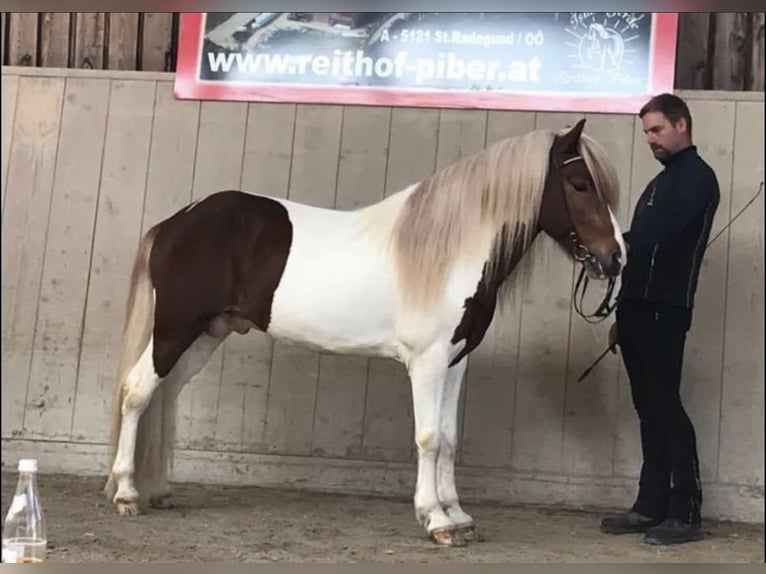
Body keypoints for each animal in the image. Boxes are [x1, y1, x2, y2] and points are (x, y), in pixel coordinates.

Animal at [103, 118, 626, 547]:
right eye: (580, 184)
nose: (615, 257)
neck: (449, 251)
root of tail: (178, 221)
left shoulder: (456, 361)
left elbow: (450, 438)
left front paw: (459, 516)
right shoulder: (428, 362)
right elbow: (429, 437)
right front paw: (436, 520)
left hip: (208, 334)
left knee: (164, 395)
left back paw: (158, 490)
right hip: (175, 328)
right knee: (137, 392)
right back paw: (127, 493)